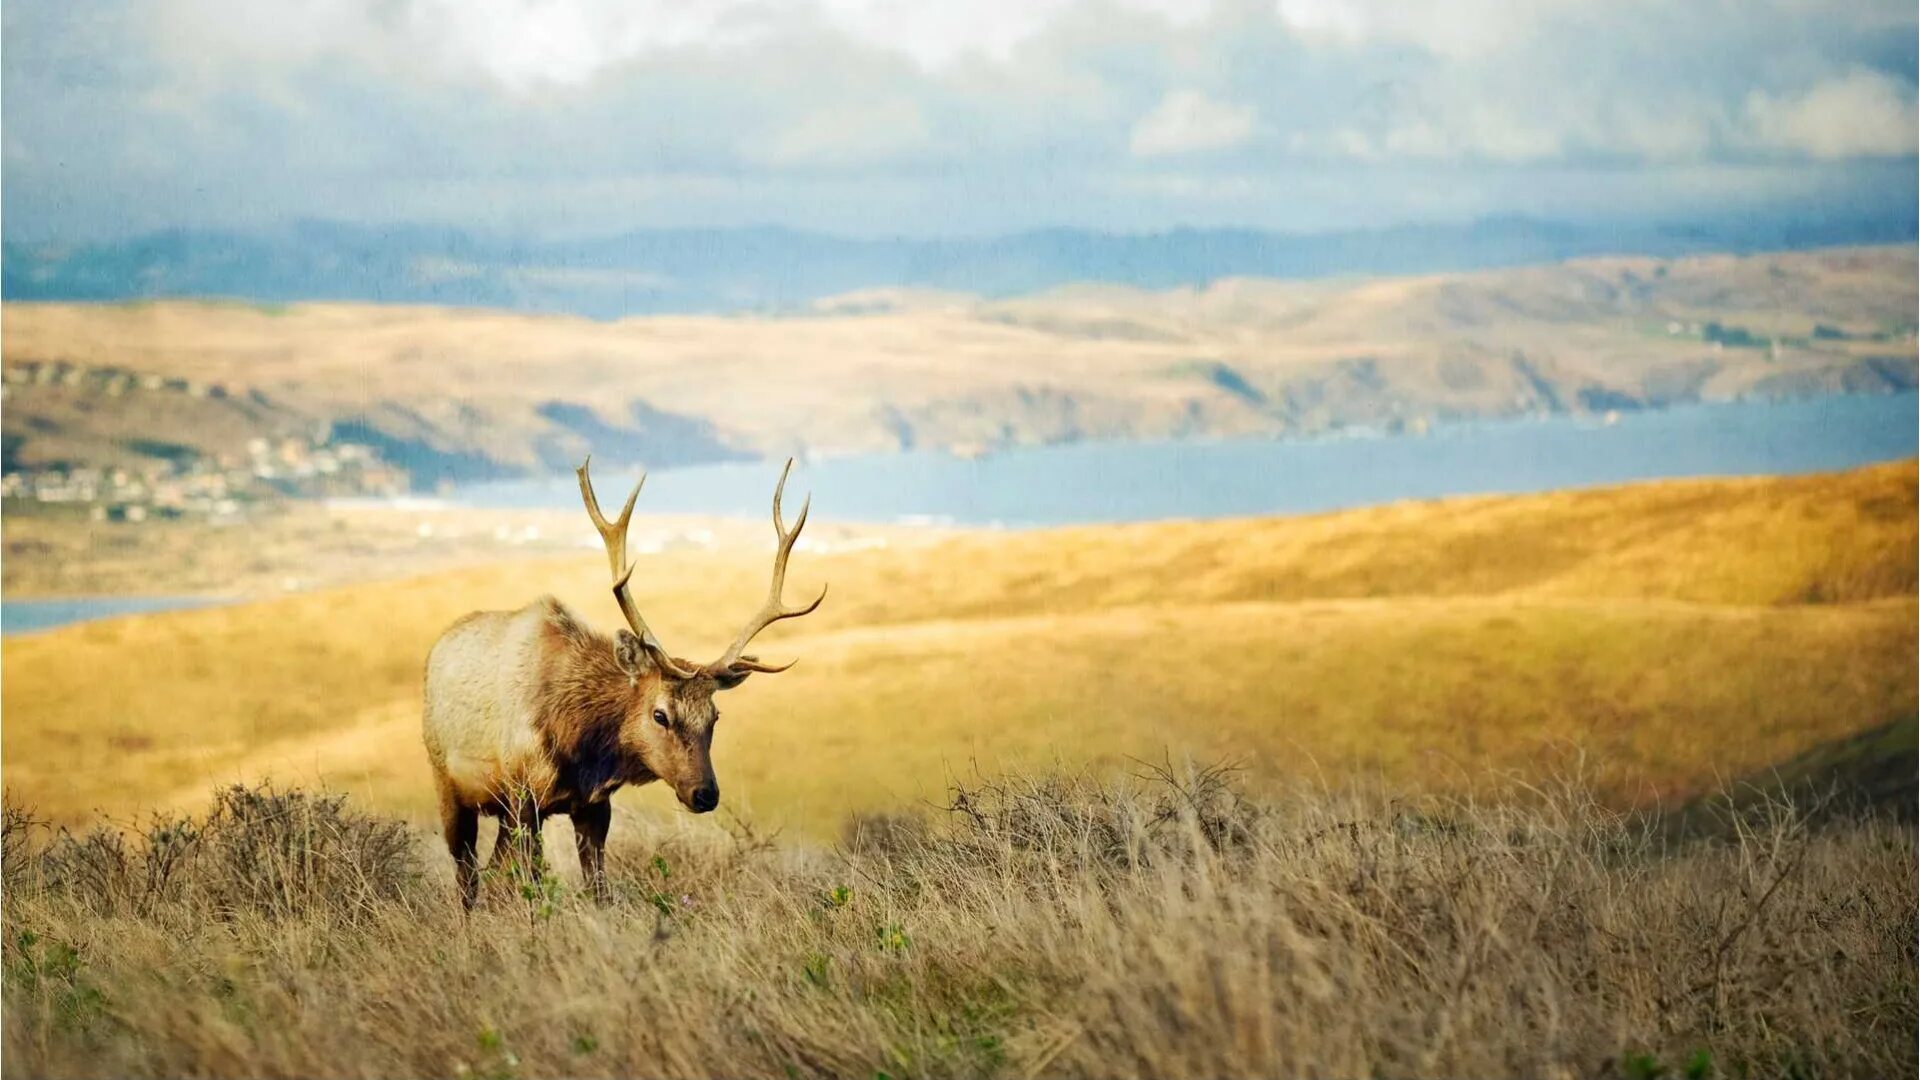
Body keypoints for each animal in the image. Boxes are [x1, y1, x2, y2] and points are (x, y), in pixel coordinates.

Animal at [424, 455, 821, 907]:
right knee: (467, 876)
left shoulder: (593, 806)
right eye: (660, 714)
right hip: (448, 783)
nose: (706, 793)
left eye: (715, 716)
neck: (578, 742)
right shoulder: (524, 797)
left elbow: (598, 888)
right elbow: (532, 886)